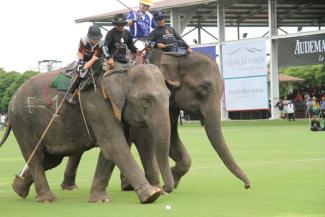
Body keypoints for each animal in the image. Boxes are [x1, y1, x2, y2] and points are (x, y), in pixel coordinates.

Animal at [0, 63, 173, 203]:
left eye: (170, 96)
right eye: (147, 99)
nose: (165, 189)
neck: (122, 70)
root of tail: (12, 99)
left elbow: (110, 151)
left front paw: (100, 200)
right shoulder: (96, 105)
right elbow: (115, 146)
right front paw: (152, 195)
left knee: (50, 159)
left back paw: (18, 188)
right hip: (22, 122)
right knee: (35, 156)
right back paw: (47, 199)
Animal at [58, 49, 251, 193]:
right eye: (203, 89)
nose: (247, 186)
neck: (176, 57)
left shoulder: (169, 102)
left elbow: (170, 138)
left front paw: (171, 179)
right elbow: (151, 138)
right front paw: (163, 184)